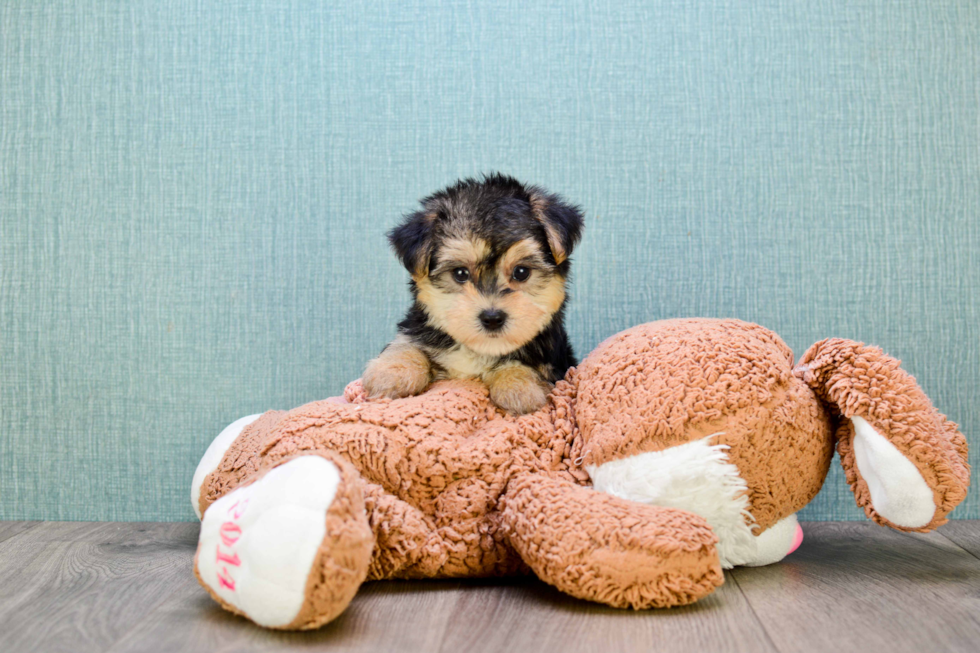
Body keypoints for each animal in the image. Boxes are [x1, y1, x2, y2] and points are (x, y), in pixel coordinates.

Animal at [362, 173, 580, 412]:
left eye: (521, 272)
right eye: (460, 273)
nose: (492, 318)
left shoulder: (552, 362)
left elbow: (521, 364)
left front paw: (520, 387)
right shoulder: (417, 330)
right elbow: (406, 345)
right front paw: (392, 373)